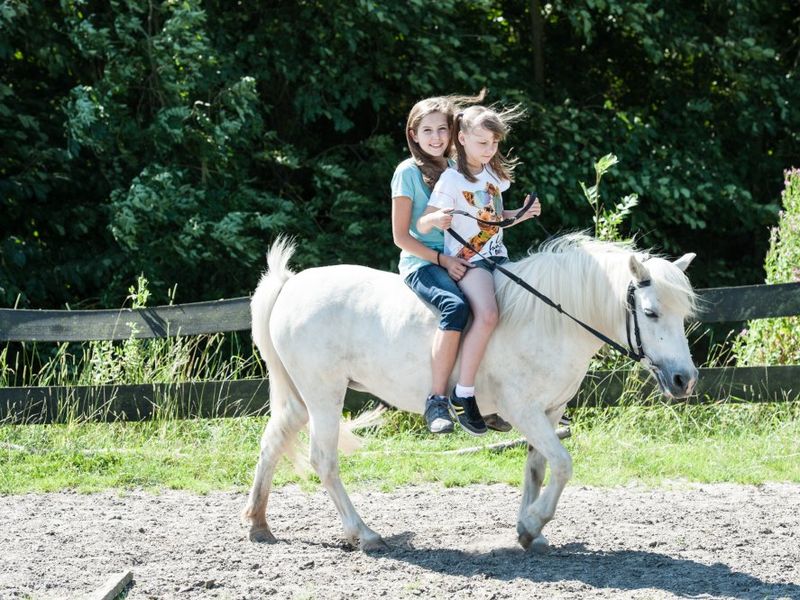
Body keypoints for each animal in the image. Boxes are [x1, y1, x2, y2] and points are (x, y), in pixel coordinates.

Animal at [241, 233, 696, 548]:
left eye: (683, 314)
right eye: (651, 313)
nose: (684, 379)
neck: (552, 320)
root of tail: (290, 285)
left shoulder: (548, 412)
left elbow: (537, 468)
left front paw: (528, 532)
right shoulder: (524, 411)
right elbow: (564, 464)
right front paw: (534, 523)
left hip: (302, 396)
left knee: (273, 440)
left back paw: (259, 524)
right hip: (324, 394)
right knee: (324, 459)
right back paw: (363, 534)